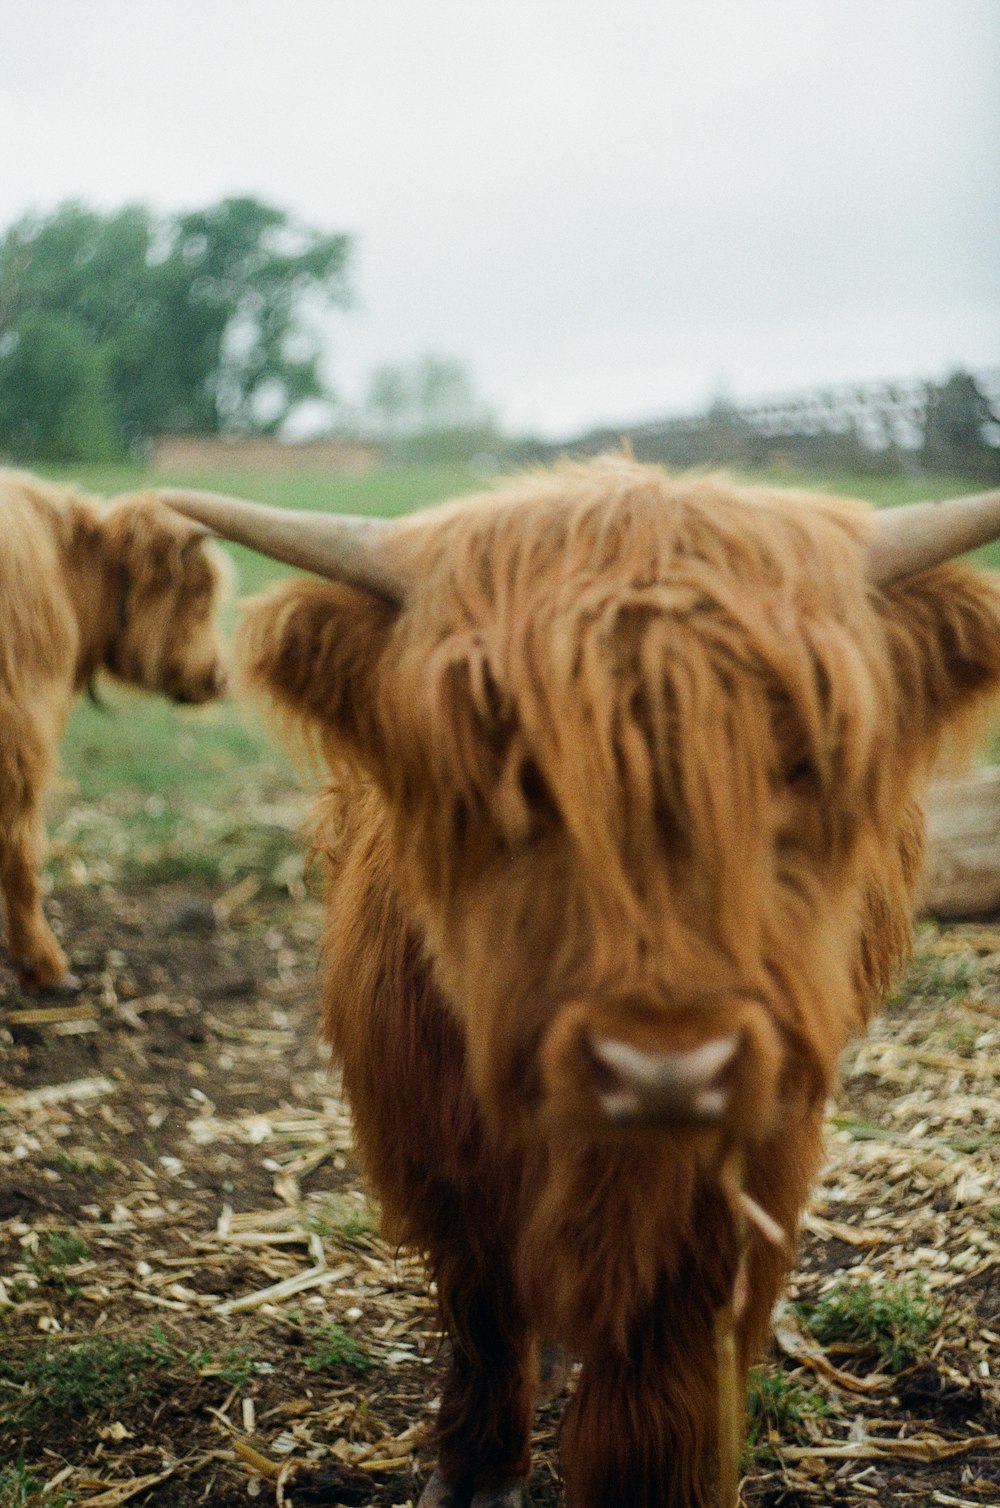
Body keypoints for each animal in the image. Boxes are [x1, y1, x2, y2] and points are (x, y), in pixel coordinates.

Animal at [165, 461, 1000, 1508]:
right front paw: (477, 1468)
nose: (665, 1067)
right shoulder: (440, 1148)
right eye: (506, 772)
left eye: (799, 764)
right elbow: (485, 1309)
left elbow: (661, 1372)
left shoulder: (752, 1160)